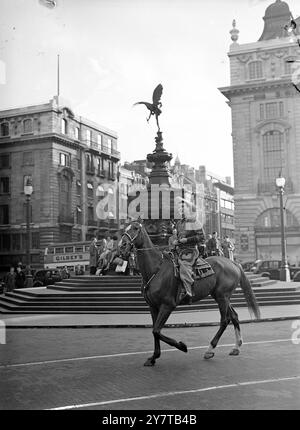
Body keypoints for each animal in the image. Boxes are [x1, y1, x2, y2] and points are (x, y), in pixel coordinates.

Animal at [119, 222, 260, 366]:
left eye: (135, 228)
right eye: (125, 228)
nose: (122, 245)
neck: (156, 269)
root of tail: (233, 263)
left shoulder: (167, 306)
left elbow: (156, 331)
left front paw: (182, 346)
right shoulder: (153, 306)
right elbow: (155, 331)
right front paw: (153, 357)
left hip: (222, 297)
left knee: (225, 320)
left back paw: (210, 349)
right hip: (221, 296)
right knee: (234, 316)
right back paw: (236, 346)